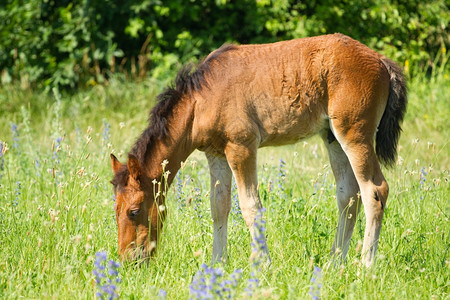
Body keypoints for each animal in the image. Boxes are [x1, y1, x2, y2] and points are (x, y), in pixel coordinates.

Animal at [110, 33, 406, 268]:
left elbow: (250, 206)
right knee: (348, 195)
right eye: (116, 209)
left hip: (355, 134)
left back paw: (365, 266)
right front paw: (217, 263)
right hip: (332, 137)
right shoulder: (216, 154)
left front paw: (262, 263)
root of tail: (381, 61)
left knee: (375, 191)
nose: (127, 261)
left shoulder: (241, 147)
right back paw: (335, 261)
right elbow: (219, 206)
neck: (202, 99)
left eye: (134, 211)